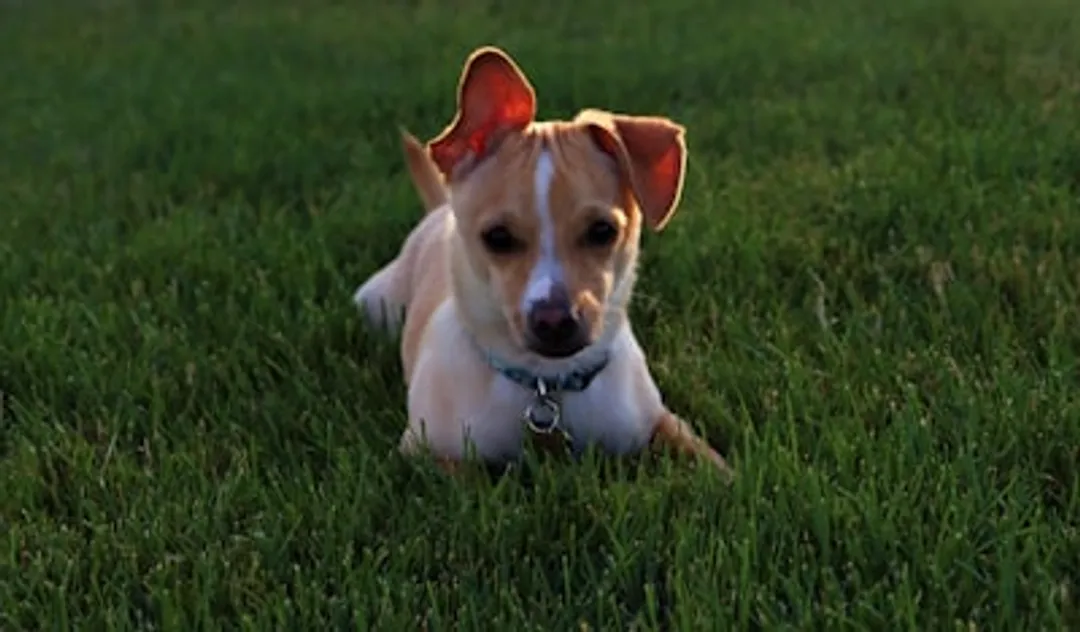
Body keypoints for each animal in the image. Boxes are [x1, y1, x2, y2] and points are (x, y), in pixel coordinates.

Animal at [354, 44, 734, 475]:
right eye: (497, 238)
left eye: (603, 231)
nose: (555, 321)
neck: (544, 384)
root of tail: (438, 209)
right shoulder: (423, 454)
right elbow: (470, 476)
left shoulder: (656, 421)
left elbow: (706, 459)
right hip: (376, 303)